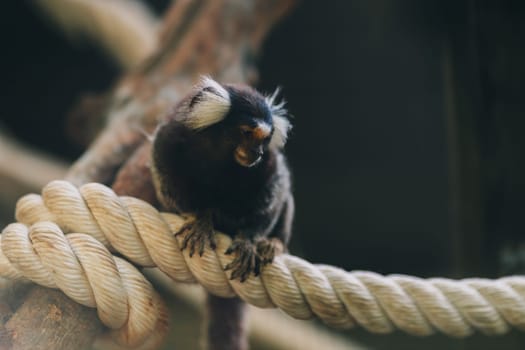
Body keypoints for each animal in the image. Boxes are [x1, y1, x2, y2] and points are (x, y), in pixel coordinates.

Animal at [149, 77, 292, 350]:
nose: (257, 152)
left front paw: (249, 239)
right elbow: (165, 175)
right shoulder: (171, 137)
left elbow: (276, 190)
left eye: (264, 140)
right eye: (247, 132)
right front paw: (199, 218)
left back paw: (274, 243)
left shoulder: (269, 164)